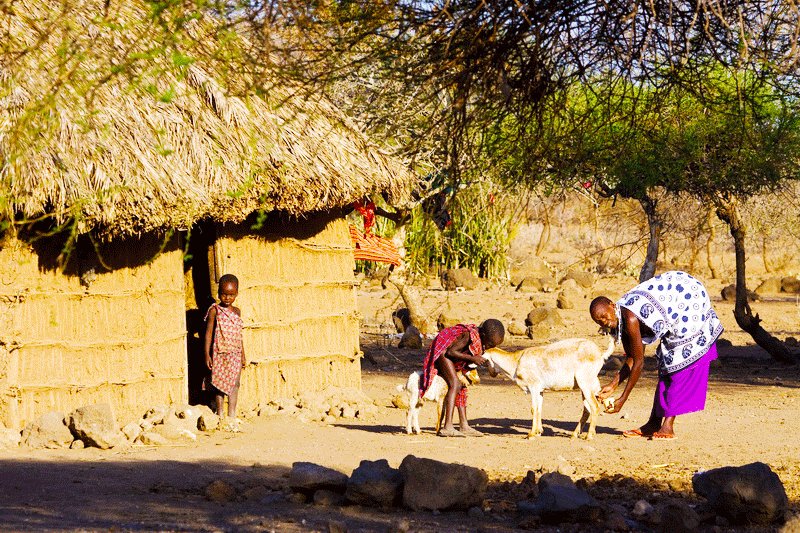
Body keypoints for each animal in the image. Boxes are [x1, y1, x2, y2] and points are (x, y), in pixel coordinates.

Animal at [482, 336, 620, 440]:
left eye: (485, 361)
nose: (492, 374)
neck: (517, 361)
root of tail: (600, 353)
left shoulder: (533, 387)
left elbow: (533, 409)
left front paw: (531, 434)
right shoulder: (540, 391)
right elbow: (539, 409)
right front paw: (539, 431)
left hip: (585, 384)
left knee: (594, 407)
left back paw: (589, 436)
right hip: (590, 386)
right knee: (588, 409)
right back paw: (575, 434)